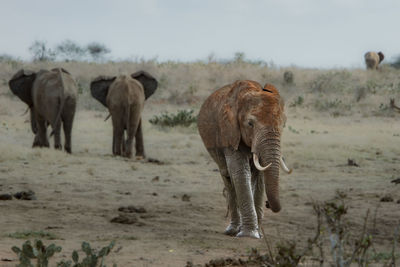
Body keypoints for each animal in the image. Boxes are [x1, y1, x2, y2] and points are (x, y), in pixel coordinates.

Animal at [198, 80, 292, 240]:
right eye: (250, 124)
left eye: (283, 125)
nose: (268, 204)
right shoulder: (229, 134)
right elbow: (240, 172)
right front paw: (249, 235)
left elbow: (259, 176)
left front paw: (257, 234)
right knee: (228, 179)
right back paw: (232, 230)